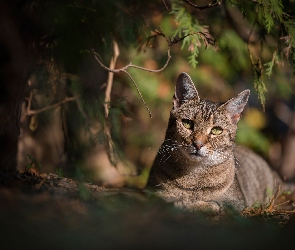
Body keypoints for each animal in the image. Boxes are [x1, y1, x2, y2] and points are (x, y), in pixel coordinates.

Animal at [147, 72, 292, 215]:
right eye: (187, 123)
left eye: (216, 130)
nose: (198, 144)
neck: (193, 178)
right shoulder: (152, 191)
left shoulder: (235, 202)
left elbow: (212, 205)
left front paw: (191, 205)